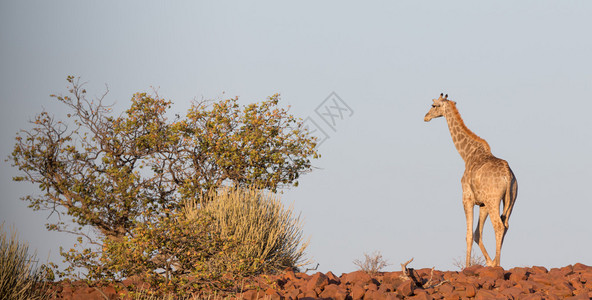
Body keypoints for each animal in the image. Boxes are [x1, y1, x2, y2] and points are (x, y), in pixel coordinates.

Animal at [424, 93, 516, 268]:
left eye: (433, 106)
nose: (426, 117)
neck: (467, 154)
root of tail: (508, 175)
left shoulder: (467, 198)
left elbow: (468, 234)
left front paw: (467, 266)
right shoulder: (482, 203)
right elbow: (476, 233)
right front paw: (489, 262)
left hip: (494, 201)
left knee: (498, 225)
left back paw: (498, 264)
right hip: (511, 200)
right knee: (506, 225)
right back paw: (496, 261)